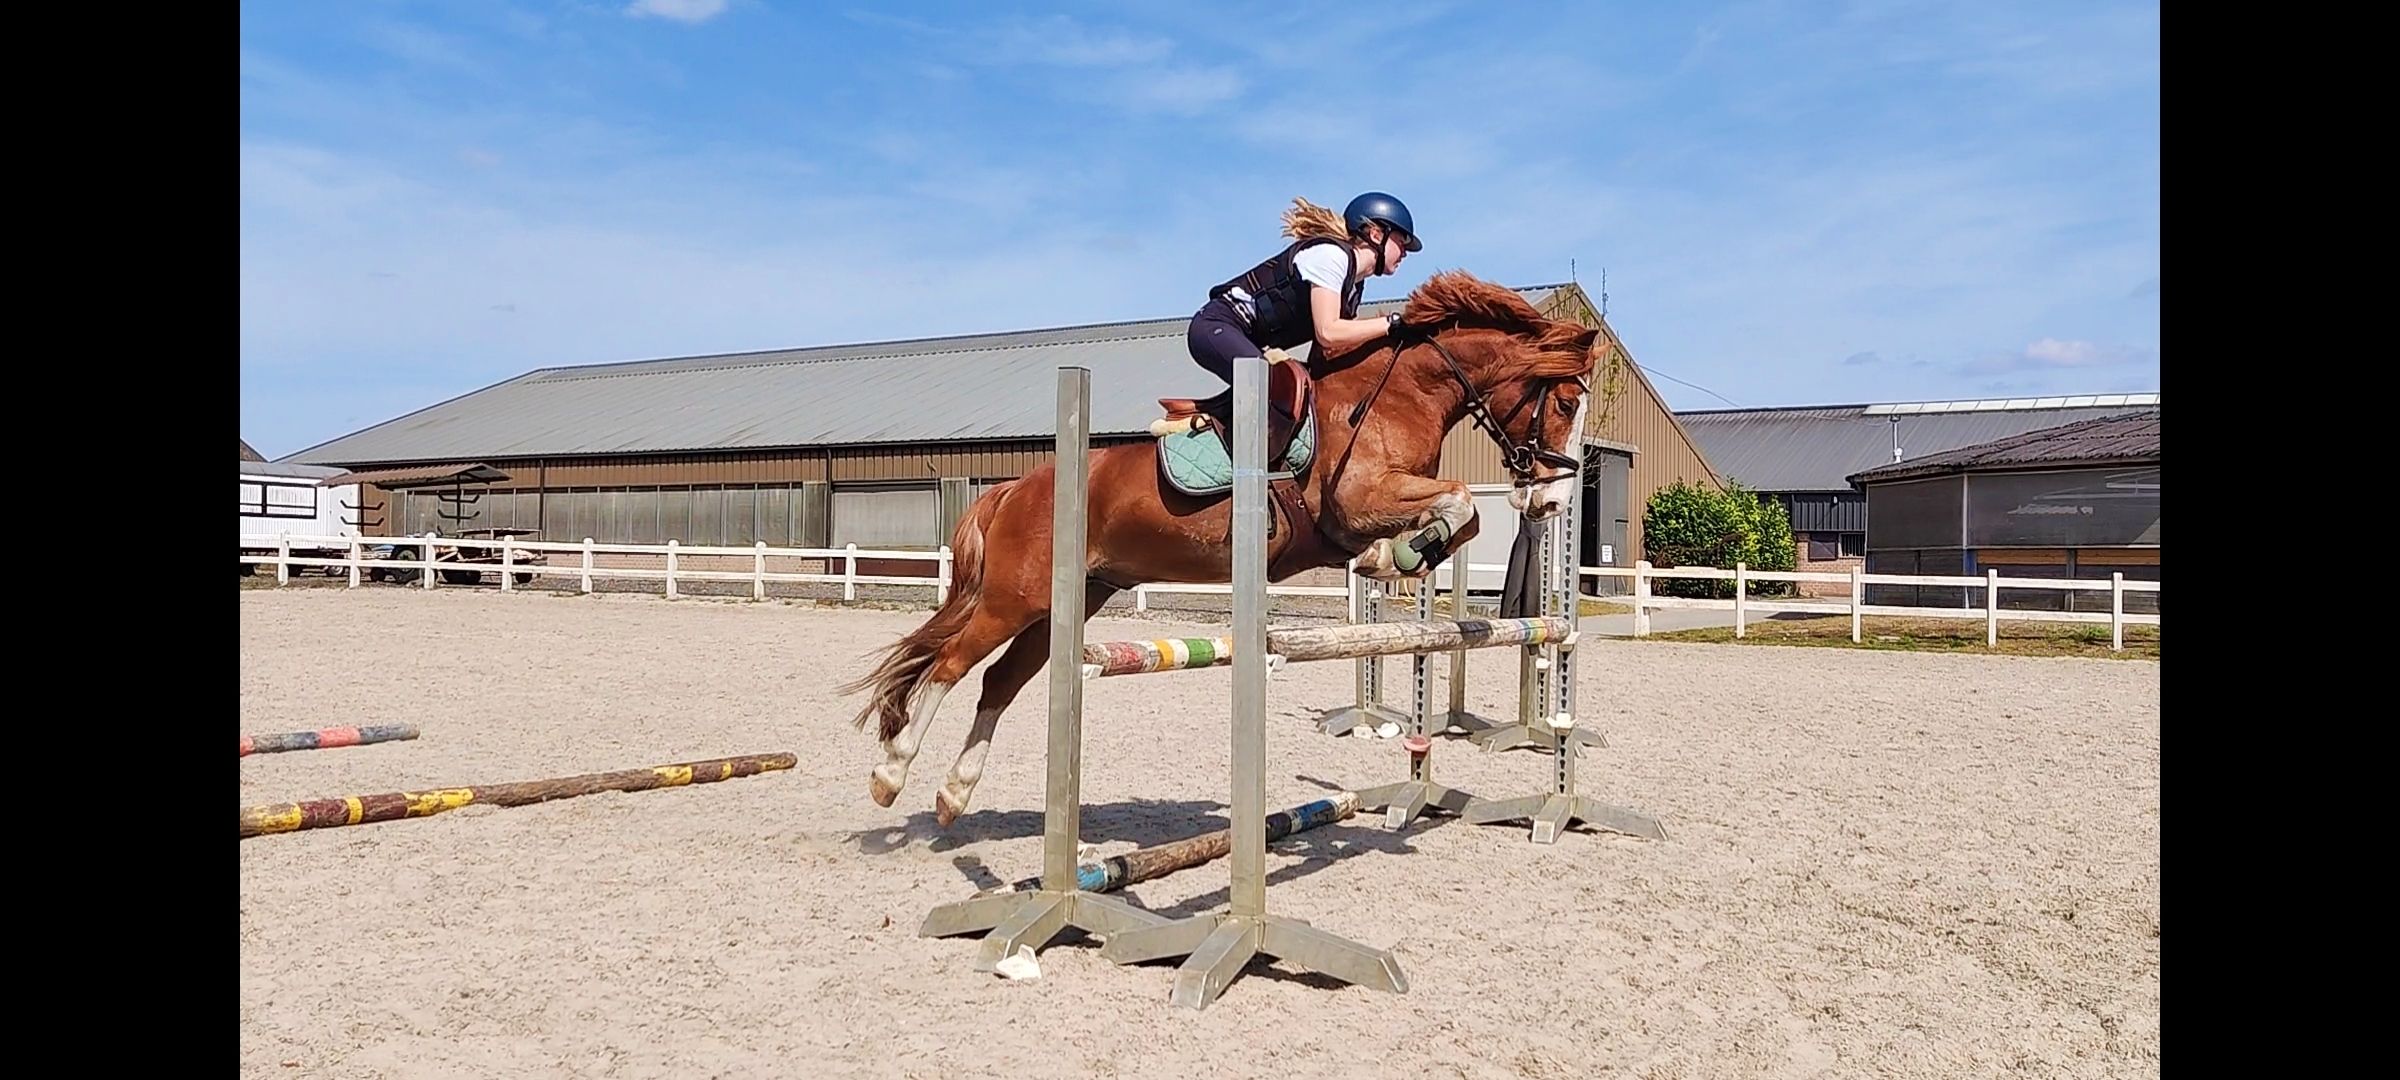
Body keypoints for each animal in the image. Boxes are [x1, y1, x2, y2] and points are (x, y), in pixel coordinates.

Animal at [837, 270, 1612, 825]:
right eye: (1565, 403)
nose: (1552, 503)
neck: (1400, 394)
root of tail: (1013, 488)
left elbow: (1461, 516)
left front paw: (1395, 557)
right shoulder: (1357, 499)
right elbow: (1458, 500)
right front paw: (1398, 555)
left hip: (1069, 601)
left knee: (998, 682)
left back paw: (953, 795)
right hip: (1013, 597)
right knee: (948, 665)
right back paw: (891, 774)